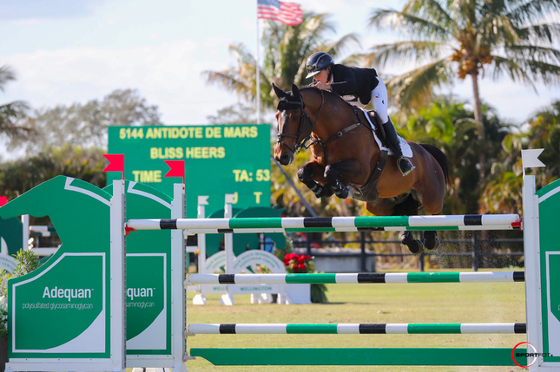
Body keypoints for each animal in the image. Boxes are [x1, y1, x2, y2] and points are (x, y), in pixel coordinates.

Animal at [272, 83, 450, 253]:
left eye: (295, 117)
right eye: (276, 116)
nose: (281, 156)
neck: (336, 131)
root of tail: (427, 152)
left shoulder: (362, 171)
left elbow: (330, 170)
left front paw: (338, 189)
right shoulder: (320, 166)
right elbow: (304, 172)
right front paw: (321, 189)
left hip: (430, 196)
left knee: (435, 211)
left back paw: (430, 239)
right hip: (379, 204)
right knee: (404, 214)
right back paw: (411, 242)